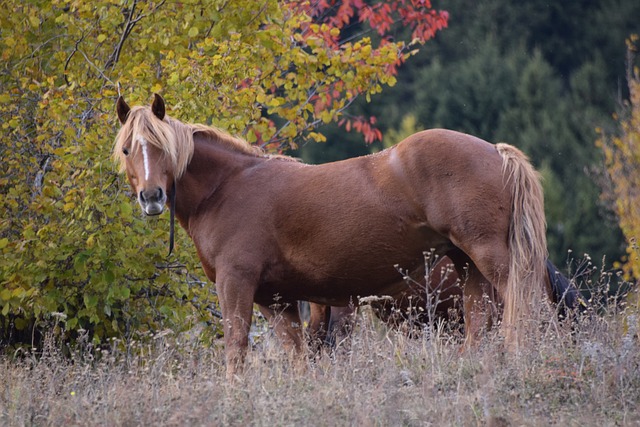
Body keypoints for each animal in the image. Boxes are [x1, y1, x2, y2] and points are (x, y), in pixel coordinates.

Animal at [114, 93, 552, 378]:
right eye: (126, 150)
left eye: (161, 147)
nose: (151, 197)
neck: (228, 186)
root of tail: (496, 151)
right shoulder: (276, 299)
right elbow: (297, 356)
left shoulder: (236, 283)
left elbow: (236, 348)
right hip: (466, 263)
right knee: (479, 321)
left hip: (490, 258)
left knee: (522, 307)